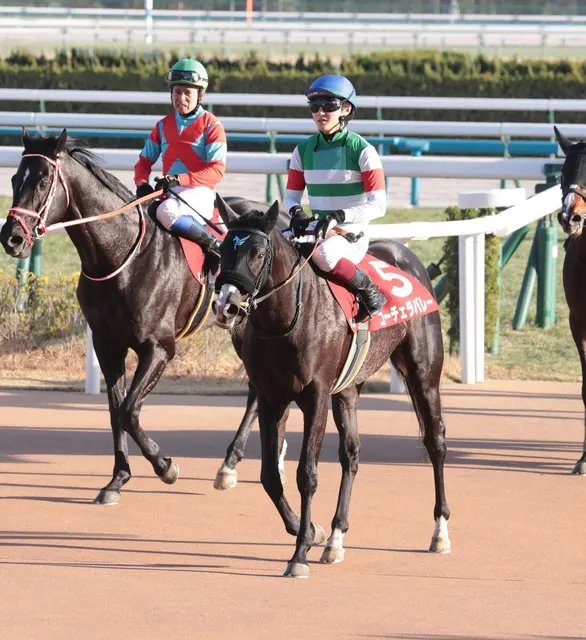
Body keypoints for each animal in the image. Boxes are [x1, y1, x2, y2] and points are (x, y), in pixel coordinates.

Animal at [0, 129, 285, 504]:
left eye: (44, 180)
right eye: (15, 179)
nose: (12, 237)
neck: (122, 256)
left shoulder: (159, 347)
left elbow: (129, 410)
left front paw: (165, 467)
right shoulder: (108, 345)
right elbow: (115, 411)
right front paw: (117, 480)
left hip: (245, 326)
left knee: (257, 387)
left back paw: (233, 464)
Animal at [212, 197, 451, 578]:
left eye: (256, 251)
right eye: (222, 248)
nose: (226, 304)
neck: (286, 319)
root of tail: (404, 253)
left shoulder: (315, 396)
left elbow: (306, 474)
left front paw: (298, 556)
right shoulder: (271, 397)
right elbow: (270, 476)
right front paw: (310, 531)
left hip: (424, 374)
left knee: (435, 441)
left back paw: (440, 532)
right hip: (348, 391)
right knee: (351, 454)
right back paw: (336, 538)